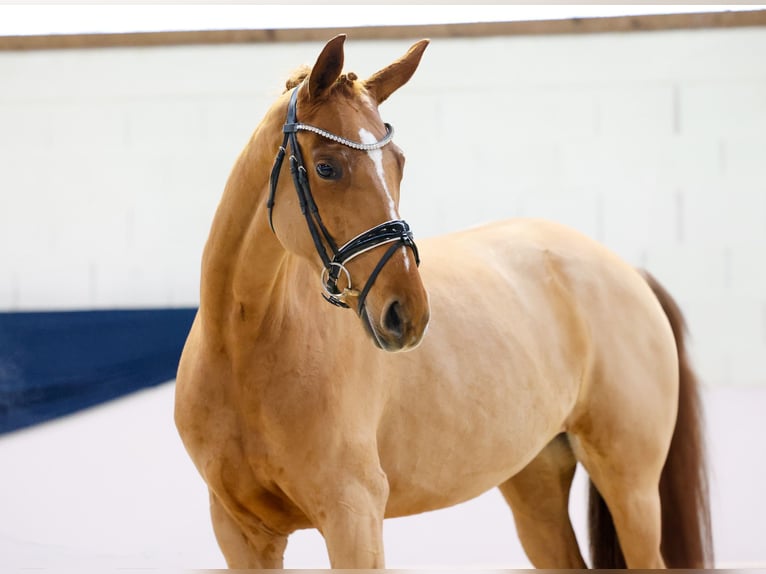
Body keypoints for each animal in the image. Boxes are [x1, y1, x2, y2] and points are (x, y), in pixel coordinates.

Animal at [174, 37, 712, 572]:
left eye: (398, 163)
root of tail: (627, 272)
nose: (407, 313)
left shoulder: (353, 517)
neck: (244, 350)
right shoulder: (241, 535)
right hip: (535, 483)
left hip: (631, 486)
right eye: (326, 167)